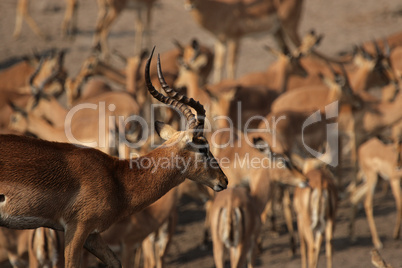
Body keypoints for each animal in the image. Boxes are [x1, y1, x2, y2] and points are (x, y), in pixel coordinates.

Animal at [0, 48, 228, 268]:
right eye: (203, 147)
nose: (223, 180)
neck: (117, 179)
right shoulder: (77, 228)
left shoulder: (92, 235)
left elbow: (115, 262)